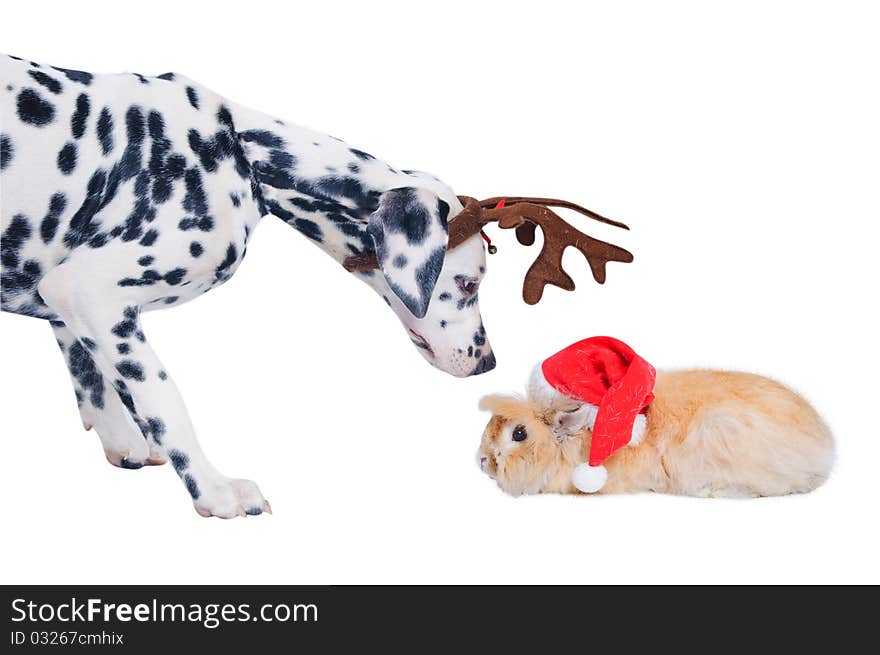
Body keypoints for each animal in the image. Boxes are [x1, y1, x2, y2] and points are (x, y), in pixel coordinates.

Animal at [0, 55, 496, 516]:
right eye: (468, 284)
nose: (488, 363)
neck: (237, 150)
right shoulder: (89, 292)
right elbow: (163, 400)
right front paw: (214, 489)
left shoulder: (66, 303)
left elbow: (95, 380)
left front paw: (125, 443)